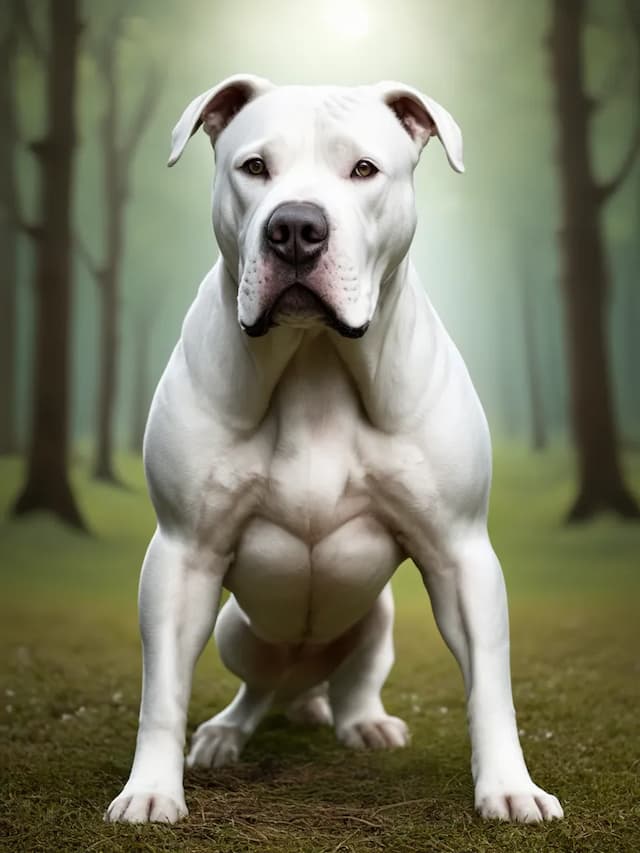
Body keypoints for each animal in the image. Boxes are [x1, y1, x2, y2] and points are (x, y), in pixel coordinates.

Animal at [106, 76, 564, 824]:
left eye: (364, 169)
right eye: (254, 166)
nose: (295, 227)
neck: (314, 356)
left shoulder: (460, 550)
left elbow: (490, 686)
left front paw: (510, 786)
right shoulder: (183, 552)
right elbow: (162, 690)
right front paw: (150, 788)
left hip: (376, 621)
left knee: (352, 681)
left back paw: (363, 721)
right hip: (239, 631)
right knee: (259, 687)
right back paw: (226, 731)